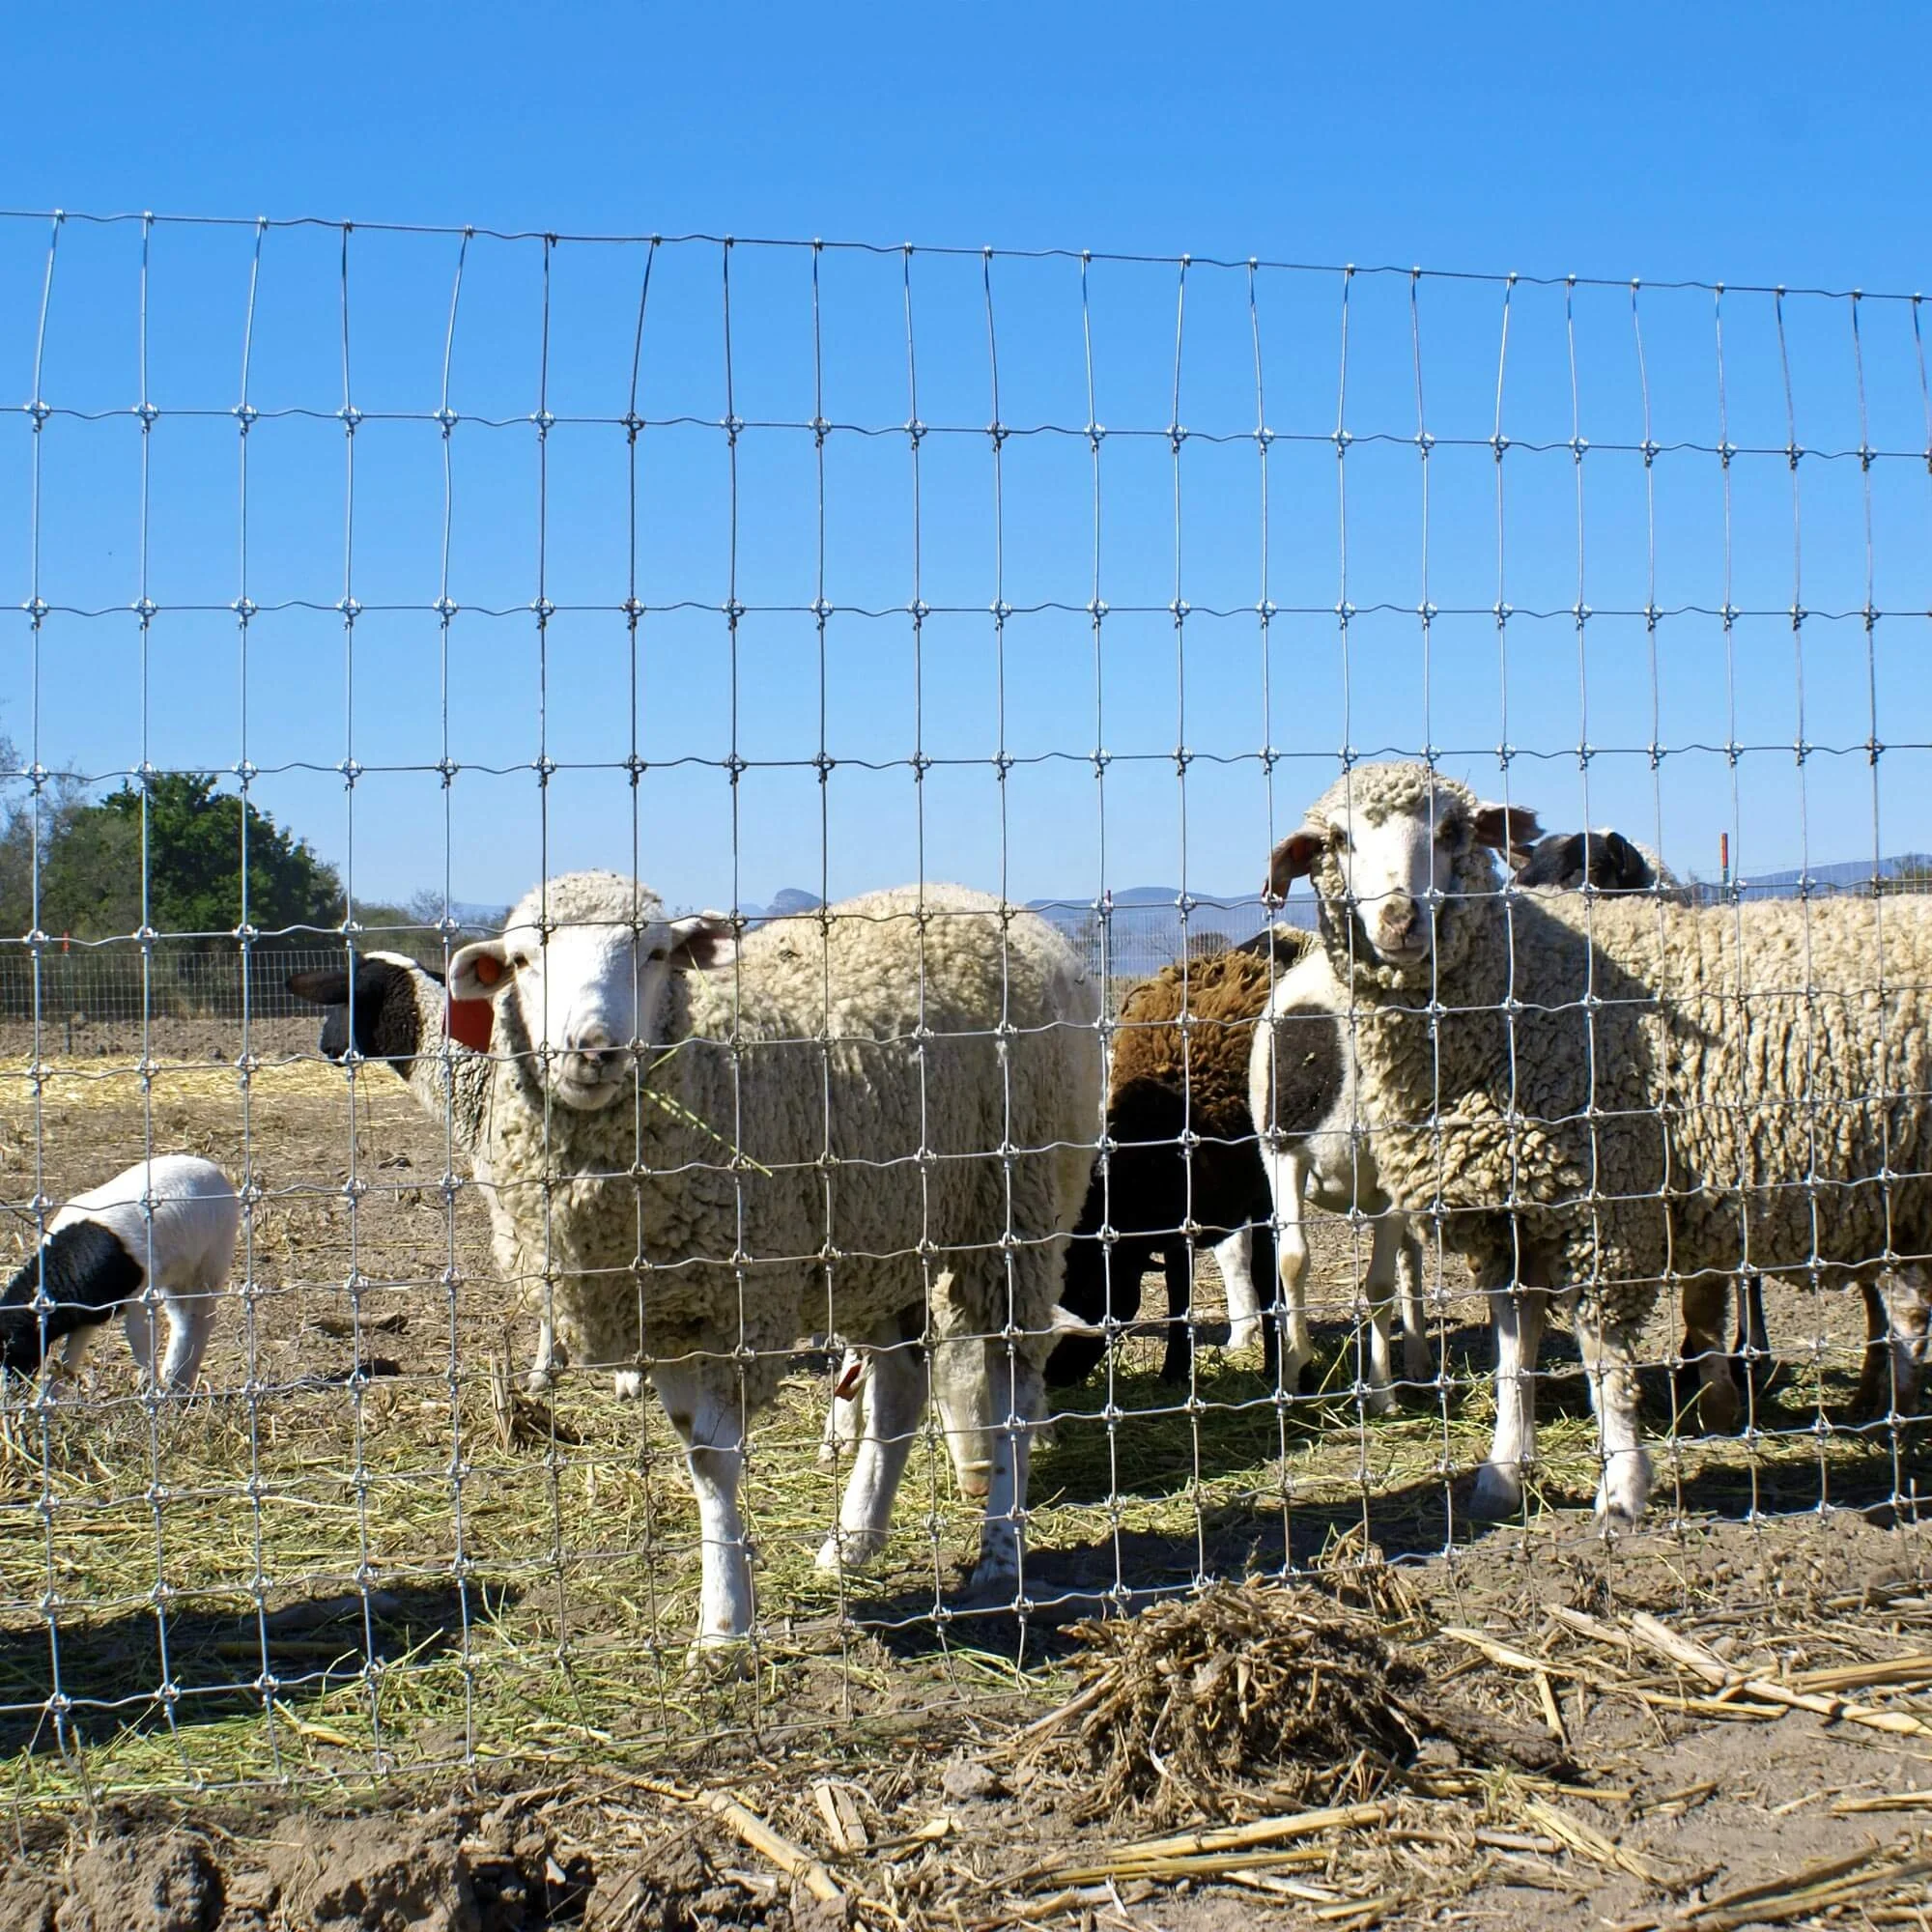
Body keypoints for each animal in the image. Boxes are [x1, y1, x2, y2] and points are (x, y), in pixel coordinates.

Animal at [0, 1154, 241, 1392]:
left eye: (11, 1347)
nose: (11, 1391)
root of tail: (212, 1168)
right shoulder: (88, 1314)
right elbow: (70, 1357)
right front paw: (52, 1396)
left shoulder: (140, 1293)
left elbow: (137, 1336)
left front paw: (149, 1387)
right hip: (178, 1274)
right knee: (182, 1318)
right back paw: (176, 1379)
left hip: (211, 1260)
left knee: (200, 1317)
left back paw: (178, 1381)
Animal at [446, 873, 1102, 1648]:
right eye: (522, 960)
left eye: (657, 951)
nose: (594, 1050)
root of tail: (989, 902)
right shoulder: (664, 1316)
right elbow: (698, 1458)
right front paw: (726, 1615)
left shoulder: (742, 1302)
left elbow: (718, 1461)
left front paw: (725, 1629)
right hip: (884, 1237)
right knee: (901, 1391)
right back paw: (853, 1542)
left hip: (1019, 1207)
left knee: (1014, 1385)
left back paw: (1001, 1549)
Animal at [1264, 761, 1932, 1524]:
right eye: (1337, 840)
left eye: (1452, 831)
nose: (1400, 919)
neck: (1523, 987)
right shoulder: (1509, 1219)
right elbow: (1514, 1352)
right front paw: (1503, 1473)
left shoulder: (1606, 1209)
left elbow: (1603, 1353)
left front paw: (1621, 1489)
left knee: (1903, 1314)